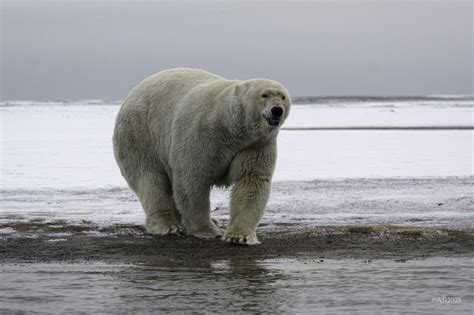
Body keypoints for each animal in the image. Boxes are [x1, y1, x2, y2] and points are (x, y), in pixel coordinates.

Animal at [113, 68, 290, 247]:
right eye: (264, 95)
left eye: (283, 96)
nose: (277, 110)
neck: (231, 127)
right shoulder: (202, 135)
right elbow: (192, 180)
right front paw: (208, 230)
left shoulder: (255, 144)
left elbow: (251, 181)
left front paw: (239, 236)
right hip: (141, 135)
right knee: (150, 179)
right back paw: (167, 225)